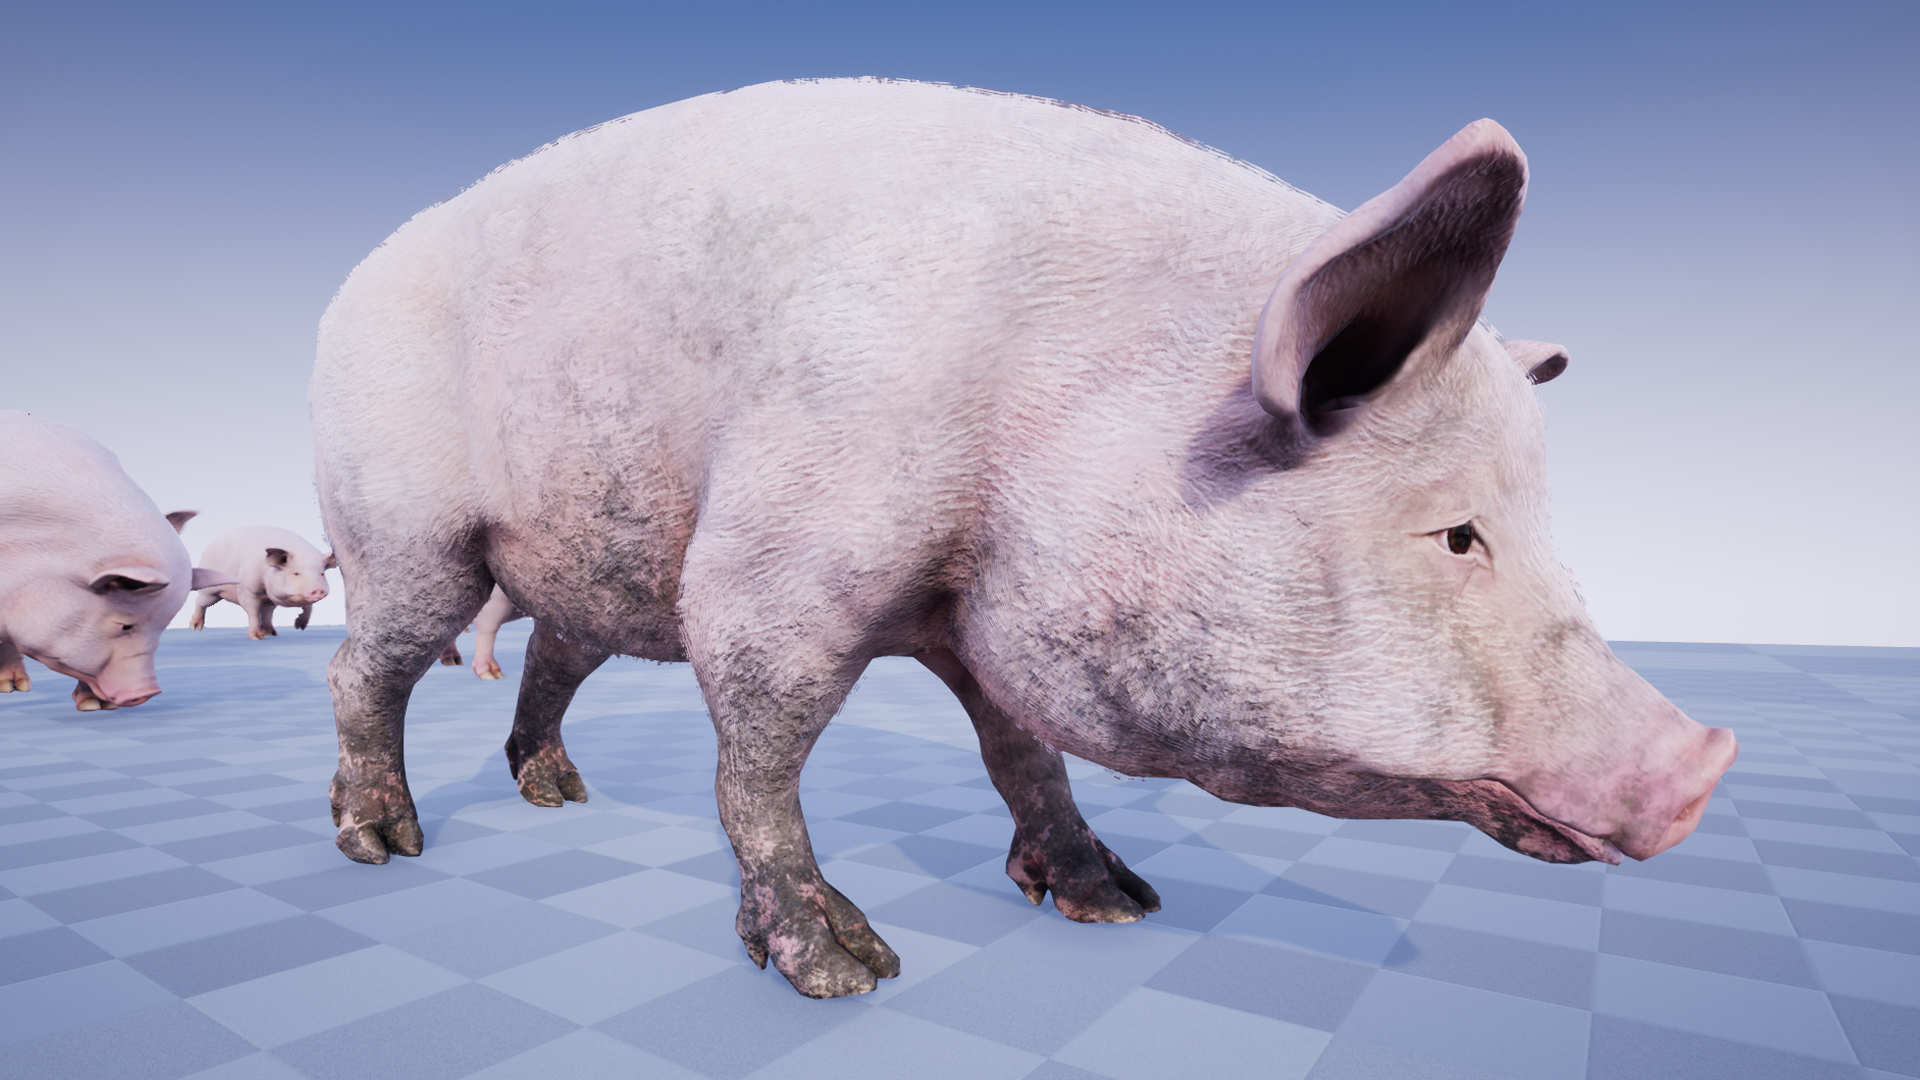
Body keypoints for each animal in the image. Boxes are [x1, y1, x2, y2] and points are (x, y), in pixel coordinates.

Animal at [187, 527, 335, 640]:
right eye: (296, 573)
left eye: (322, 573)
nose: (318, 589)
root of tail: (209, 545)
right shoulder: (247, 590)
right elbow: (252, 611)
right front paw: (257, 637)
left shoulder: (270, 599)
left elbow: (307, 607)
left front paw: (298, 627)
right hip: (210, 590)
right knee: (200, 601)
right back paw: (195, 627)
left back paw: (272, 633)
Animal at [311, 80, 1738, 998]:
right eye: (1455, 535)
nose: (1704, 766)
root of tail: (350, 285)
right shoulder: (770, 565)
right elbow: (758, 762)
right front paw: (847, 976)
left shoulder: (973, 620)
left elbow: (1022, 753)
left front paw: (1117, 903)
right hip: (407, 528)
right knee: (362, 665)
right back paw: (380, 844)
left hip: (588, 566)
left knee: (554, 652)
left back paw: (557, 793)